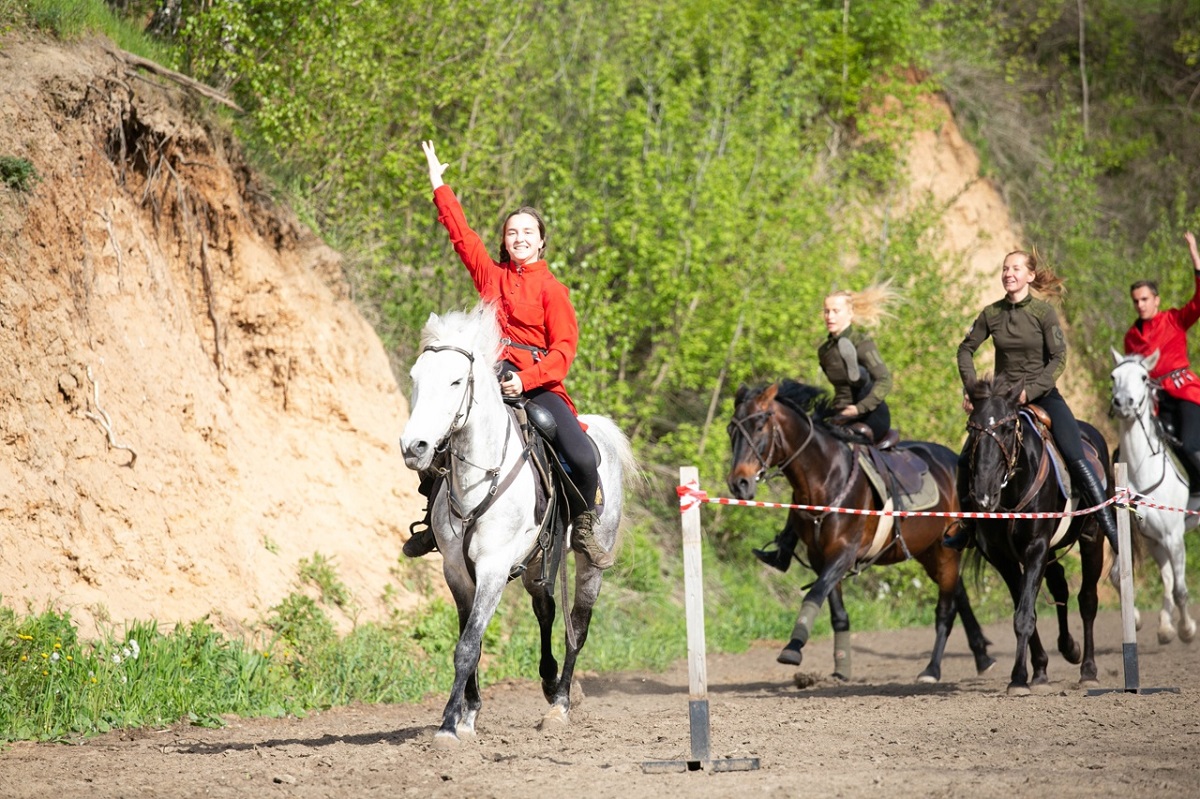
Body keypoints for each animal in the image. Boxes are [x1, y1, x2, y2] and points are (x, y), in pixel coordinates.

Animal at [398, 302, 638, 743]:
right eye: (415, 377)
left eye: (456, 380)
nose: (414, 447)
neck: (478, 477)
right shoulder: (456, 570)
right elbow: (469, 639)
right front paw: (468, 716)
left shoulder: (492, 567)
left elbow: (468, 645)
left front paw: (448, 726)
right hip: (538, 561)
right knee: (546, 610)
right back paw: (548, 682)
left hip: (589, 566)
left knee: (577, 626)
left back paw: (561, 703)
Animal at [720, 379, 993, 676]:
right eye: (731, 430)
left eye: (760, 426)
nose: (739, 483)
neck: (825, 477)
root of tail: (955, 460)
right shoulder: (820, 557)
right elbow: (837, 614)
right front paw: (841, 666)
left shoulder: (843, 553)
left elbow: (814, 594)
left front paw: (792, 648)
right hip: (930, 551)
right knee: (960, 595)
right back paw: (982, 656)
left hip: (945, 551)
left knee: (946, 609)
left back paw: (932, 670)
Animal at [964, 376, 1104, 695]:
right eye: (971, 428)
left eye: (1006, 428)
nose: (984, 494)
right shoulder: (1004, 559)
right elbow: (1025, 611)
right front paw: (1034, 671)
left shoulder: (1036, 547)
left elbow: (1025, 615)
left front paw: (1019, 677)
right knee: (1061, 586)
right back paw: (1068, 649)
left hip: (1092, 539)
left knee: (1088, 599)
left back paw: (1088, 669)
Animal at [1108, 347, 1195, 643]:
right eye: (1114, 376)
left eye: (1144, 377)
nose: (1122, 403)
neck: (1140, 470)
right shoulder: (1143, 537)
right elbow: (1118, 576)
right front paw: (1135, 619)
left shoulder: (1174, 537)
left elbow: (1181, 589)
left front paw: (1187, 630)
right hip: (1155, 542)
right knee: (1166, 576)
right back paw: (1165, 626)